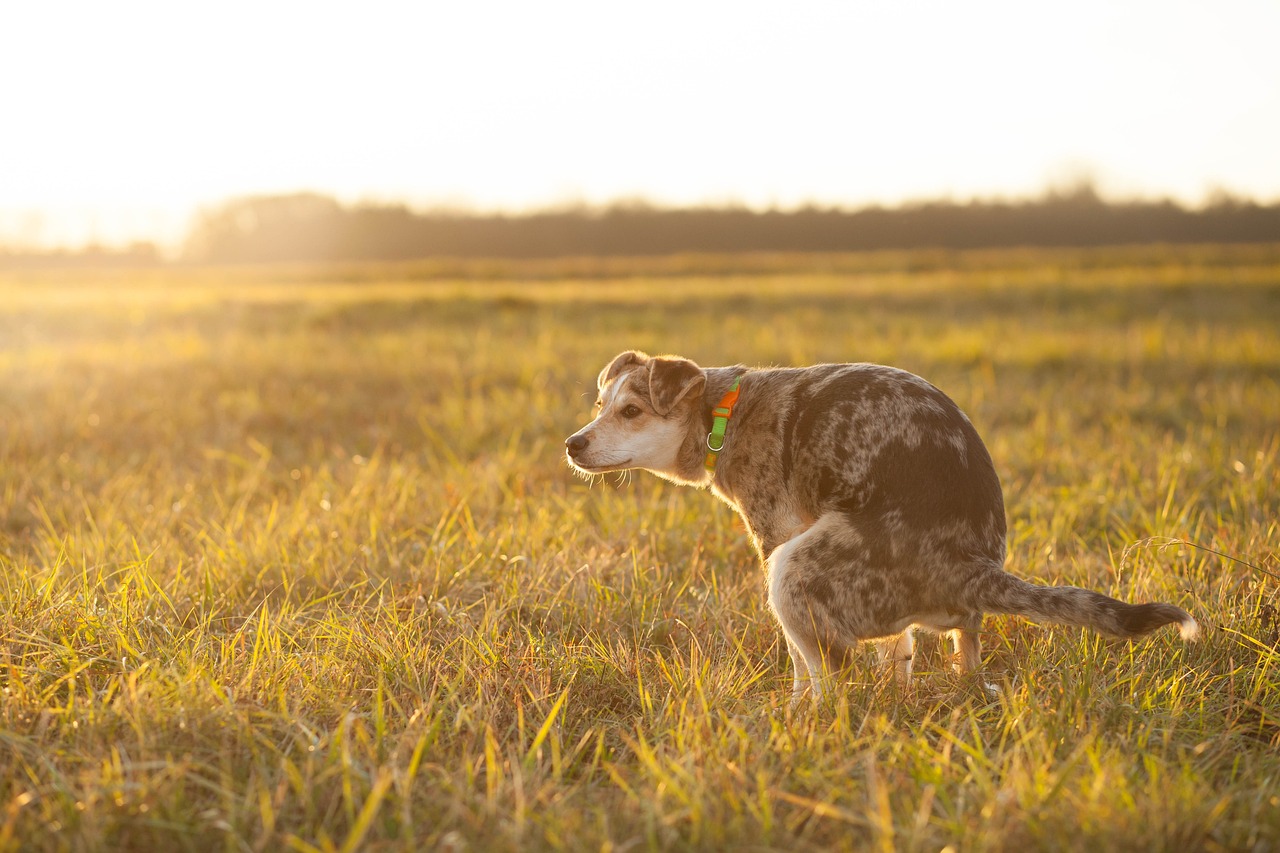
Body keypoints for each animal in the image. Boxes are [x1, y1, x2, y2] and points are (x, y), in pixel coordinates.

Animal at [565, 348, 1192, 701]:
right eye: (598, 406)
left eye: (631, 411)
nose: (572, 444)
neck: (724, 412)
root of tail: (973, 567)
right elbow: (901, 650)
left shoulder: (776, 537)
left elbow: (801, 662)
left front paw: (795, 707)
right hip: (941, 617)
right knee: (960, 650)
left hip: (793, 569)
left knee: (832, 676)